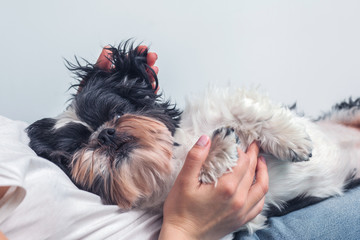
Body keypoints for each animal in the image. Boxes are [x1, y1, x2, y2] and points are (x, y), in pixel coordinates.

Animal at [26, 42, 360, 234]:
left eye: (116, 111)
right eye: (75, 150)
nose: (104, 134)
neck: (175, 156)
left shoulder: (222, 103)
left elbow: (249, 110)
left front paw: (292, 140)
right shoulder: (246, 217)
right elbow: (209, 167)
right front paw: (218, 148)